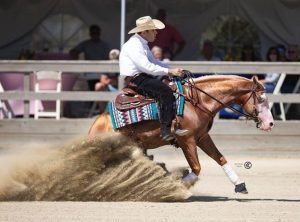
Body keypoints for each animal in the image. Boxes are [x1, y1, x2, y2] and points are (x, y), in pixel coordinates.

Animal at [88, 74, 274, 193]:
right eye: (261, 99)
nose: (270, 123)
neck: (198, 101)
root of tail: (98, 122)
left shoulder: (202, 137)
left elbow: (220, 158)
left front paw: (240, 184)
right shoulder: (187, 140)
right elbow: (197, 167)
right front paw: (176, 185)